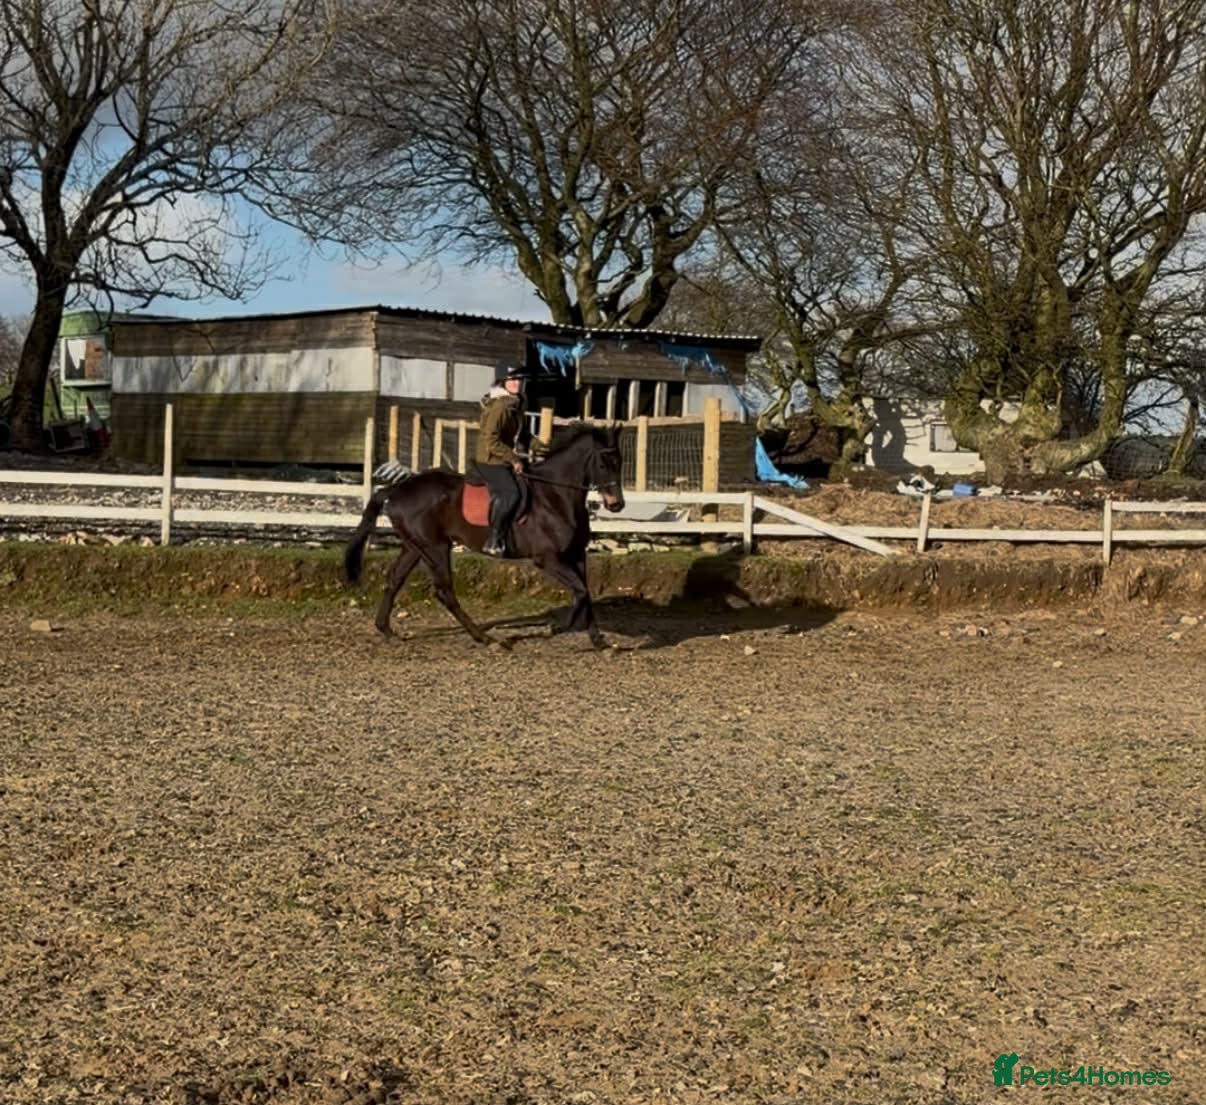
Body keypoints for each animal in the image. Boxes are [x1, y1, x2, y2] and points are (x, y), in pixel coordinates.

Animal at [343, 423, 625, 646]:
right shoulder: (548, 559)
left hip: (414, 547)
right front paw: (558, 627)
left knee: (394, 581)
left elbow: (585, 592)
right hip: (435, 547)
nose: (617, 505)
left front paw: (598, 640)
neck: (556, 495)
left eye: (620, 462)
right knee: (445, 592)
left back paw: (386, 630)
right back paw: (484, 638)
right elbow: (580, 591)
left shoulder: (577, 555)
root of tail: (396, 489)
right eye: (603, 463)